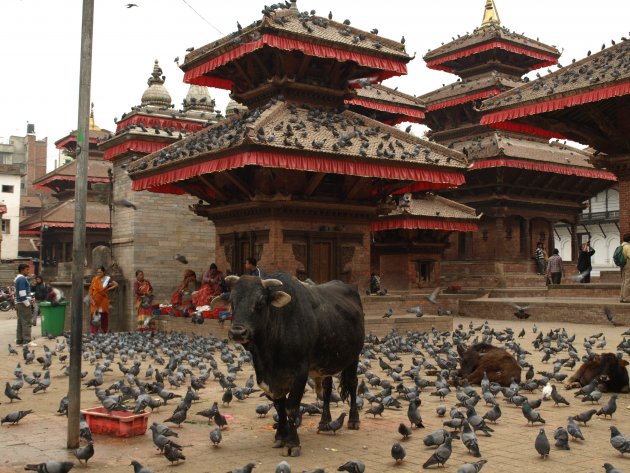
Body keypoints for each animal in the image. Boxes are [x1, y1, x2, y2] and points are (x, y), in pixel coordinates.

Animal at [214, 272, 366, 458]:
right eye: (232, 301)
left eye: (260, 302)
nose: (237, 332)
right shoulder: (268, 379)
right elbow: (279, 407)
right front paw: (280, 436)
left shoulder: (300, 373)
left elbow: (291, 408)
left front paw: (293, 443)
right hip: (325, 364)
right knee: (328, 389)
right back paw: (324, 421)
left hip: (354, 357)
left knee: (352, 384)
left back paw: (353, 419)